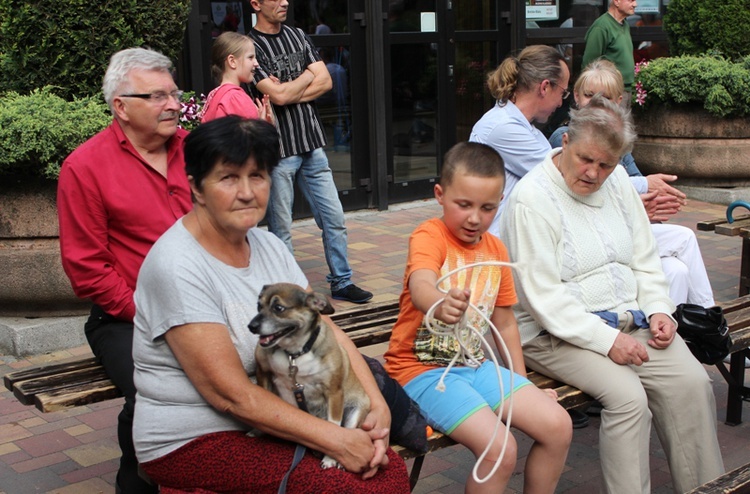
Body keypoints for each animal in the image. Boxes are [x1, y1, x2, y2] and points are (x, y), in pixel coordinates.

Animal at [250, 284, 374, 468]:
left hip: (355, 412)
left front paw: (330, 459)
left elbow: (335, 428)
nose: (251, 326)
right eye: (259, 306)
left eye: (278, 308)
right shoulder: (264, 373)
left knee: (347, 429)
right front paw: (257, 431)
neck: (295, 353)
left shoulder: (334, 393)